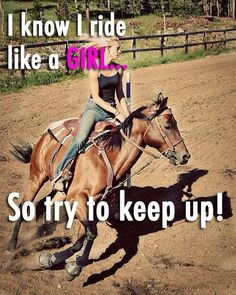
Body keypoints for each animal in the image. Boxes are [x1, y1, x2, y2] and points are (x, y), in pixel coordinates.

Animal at [7, 93, 190, 280]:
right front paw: (73, 264)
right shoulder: (77, 199)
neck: (109, 158)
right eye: (167, 126)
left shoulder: (92, 202)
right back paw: (12, 245)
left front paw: (56, 260)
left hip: (60, 191)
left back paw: (45, 233)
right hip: (36, 177)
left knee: (43, 203)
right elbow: (91, 233)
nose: (185, 156)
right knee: (23, 205)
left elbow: (82, 238)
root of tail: (45, 135)